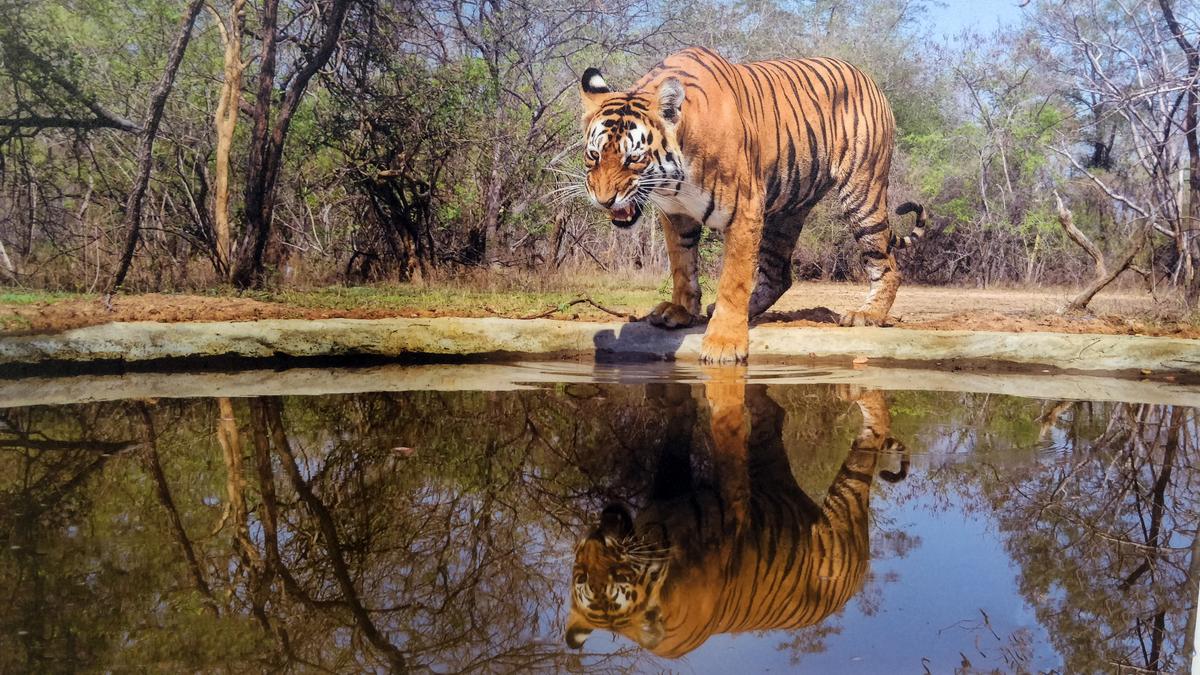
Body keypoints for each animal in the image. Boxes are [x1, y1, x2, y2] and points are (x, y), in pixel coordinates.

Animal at [564, 378, 908, 658]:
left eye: (619, 575)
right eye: (581, 574)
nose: (596, 535)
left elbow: (709, 445)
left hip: (844, 506)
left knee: (874, 431)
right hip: (771, 467)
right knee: (773, 413)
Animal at [578, 47, 926, 363]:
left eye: (633, 158)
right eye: (594, 155)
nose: (604, 199)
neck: (676, 178)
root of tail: (865, 76)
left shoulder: (744, 210)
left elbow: (734, 279)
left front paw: (723, 343)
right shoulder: (675, 213)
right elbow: (681, 264)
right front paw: (680, 310)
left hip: (861, 192)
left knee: (888, 265)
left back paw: (868, 315)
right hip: (785, 213)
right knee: (778, 276)